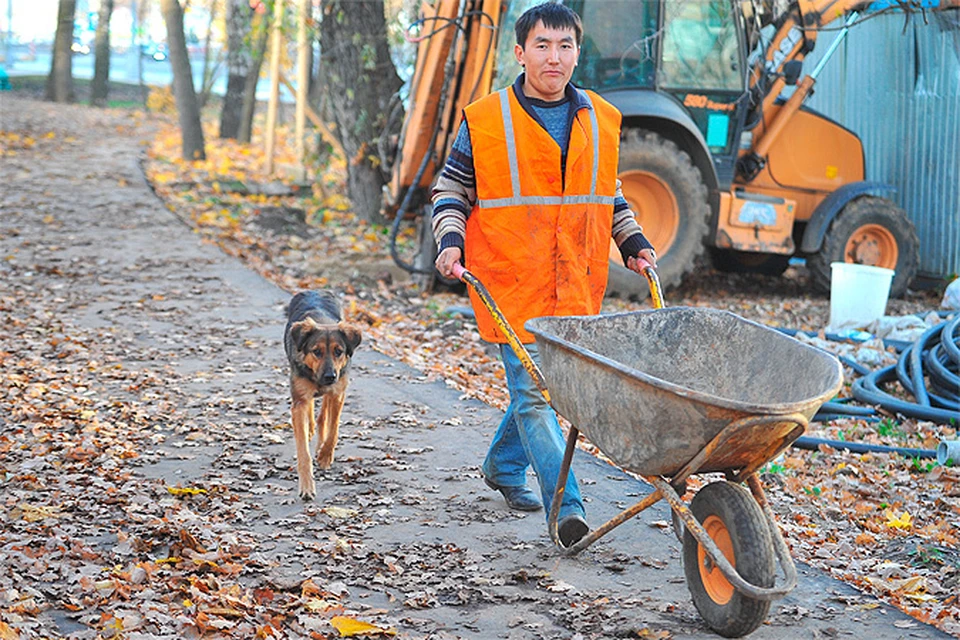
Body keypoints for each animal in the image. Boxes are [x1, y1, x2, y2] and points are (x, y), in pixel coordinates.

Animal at [284, 290, 364, 500]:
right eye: (316, 351)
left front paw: (325, 455)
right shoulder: (299, 400)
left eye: (339, 351)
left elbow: (333, 428)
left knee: (325, 415)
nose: (329, 376)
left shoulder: (338, 392)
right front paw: (306, 486)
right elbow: (303, 451)